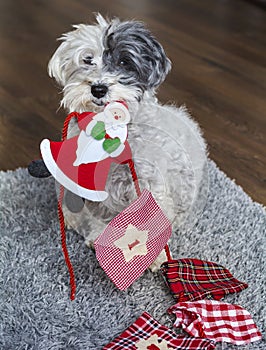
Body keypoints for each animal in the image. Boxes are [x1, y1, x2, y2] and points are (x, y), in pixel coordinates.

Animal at [33, 14, 207, 270]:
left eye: (125, 62)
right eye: (88, 60)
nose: (98, 88)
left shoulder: (146, 182)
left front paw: (155, 256)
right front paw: (100, 238)